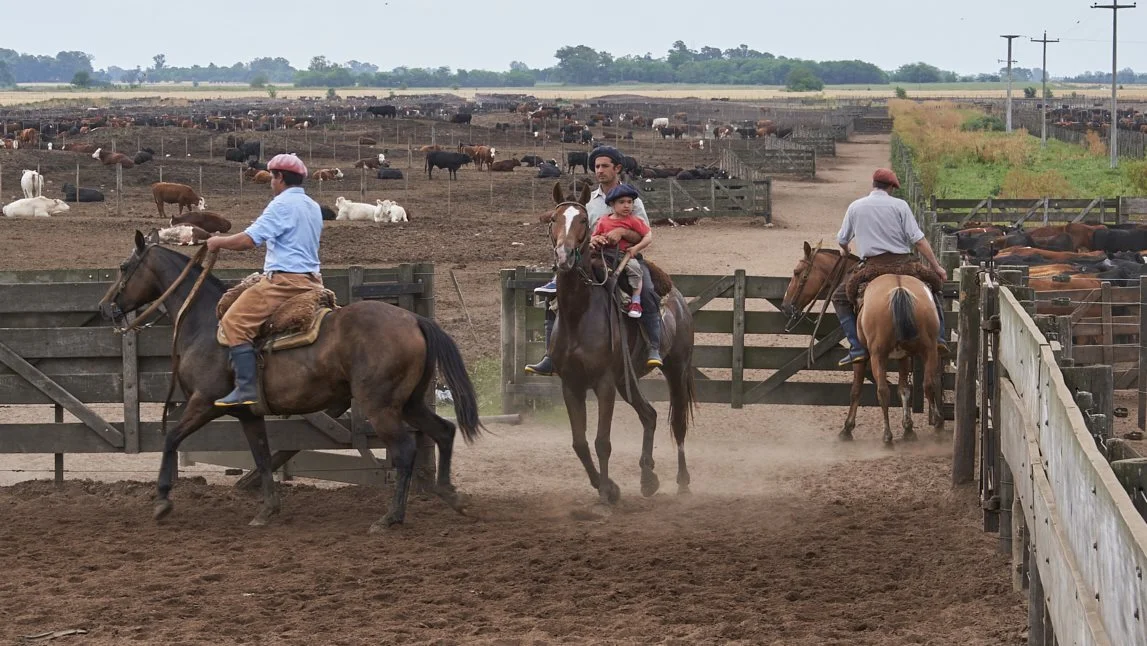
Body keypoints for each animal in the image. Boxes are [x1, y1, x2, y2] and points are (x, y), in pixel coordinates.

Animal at [92, 229, 479, 532]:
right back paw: (450, 496)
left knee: (405, 450)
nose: (103, 307)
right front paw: (267, 511)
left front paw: (161, 500)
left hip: (381, 406)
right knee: (444, 431)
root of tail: (415, 320)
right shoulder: (248, 414)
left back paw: (391, 517)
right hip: (409, 402)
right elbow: (262, 457)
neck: (205, 323)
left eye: (124, 268)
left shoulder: (203, 402)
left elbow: (171, 437)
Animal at [545, 182, 697, 504]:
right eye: (554, 219)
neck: (579, 314)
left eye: (583, 220)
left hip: (676, 369)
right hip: (626, 380)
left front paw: (607, 492)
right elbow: (579, 442)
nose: (564, 256)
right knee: (649, 415)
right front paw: (608, 486)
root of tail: (679, 301)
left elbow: (602, 441)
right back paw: (648, 478)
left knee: (677, 423)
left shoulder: (603, 384)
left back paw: (682, 482)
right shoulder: (571, 384)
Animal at [779, 243, 949, 445]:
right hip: (929, 349)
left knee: (883, 391)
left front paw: (847, 428)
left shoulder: (862, 358)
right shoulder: (904, 355)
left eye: (797, 272)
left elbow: (856, 389)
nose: (785, 306)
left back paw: (887, 436)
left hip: (877, 354)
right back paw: (938, 426)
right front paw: (908, 429)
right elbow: (904, 389)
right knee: (929, 384)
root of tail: (899, 289)